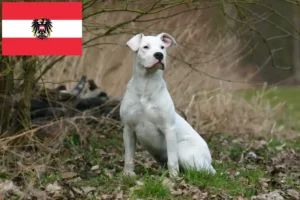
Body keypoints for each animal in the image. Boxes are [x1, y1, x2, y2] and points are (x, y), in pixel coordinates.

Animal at [119, 33, 216, 178]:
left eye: (162, 47)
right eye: (145, 47)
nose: (159, 55)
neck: (146, 85)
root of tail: (209, 162)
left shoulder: (168, 128)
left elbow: (172, 159)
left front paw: (173, 178)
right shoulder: (129, 129)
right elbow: (129, 156)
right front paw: (128, 174)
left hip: (184, 150)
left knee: (200, 172)